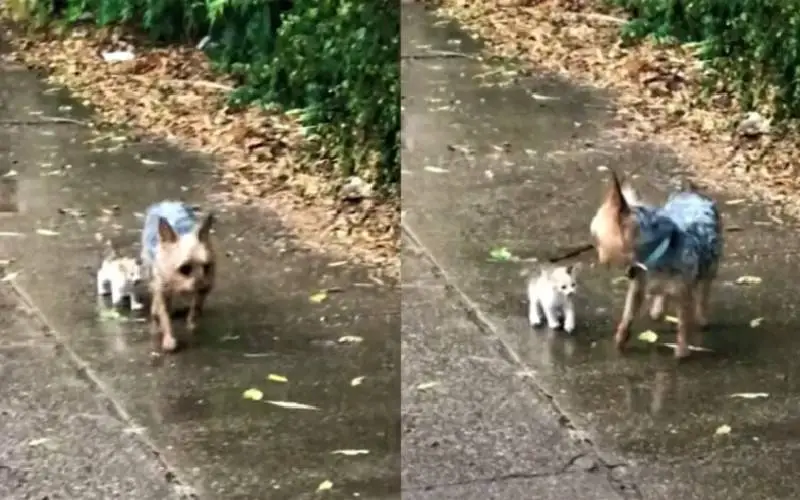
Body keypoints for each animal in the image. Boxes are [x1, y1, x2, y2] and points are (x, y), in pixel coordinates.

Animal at [141, 201, 216, 354]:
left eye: (207, 267)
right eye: (184, 268)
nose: (204, 284)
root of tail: (167, 202)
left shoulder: (204, 289)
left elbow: (196, 306)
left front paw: (193, 323)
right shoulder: (162, 289)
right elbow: (165, 316)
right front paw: (169, 338)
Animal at [588, 170, 724, 358]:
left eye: (598, 237)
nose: (599, 255)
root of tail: (691, 191)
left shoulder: (684, 294)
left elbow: (684, 323)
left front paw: (682, 350)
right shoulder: (637, 287)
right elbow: (627, 316)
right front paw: (620, 340)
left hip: (711, 264)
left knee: (704, 290)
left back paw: (702, 316)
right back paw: (657, 309)